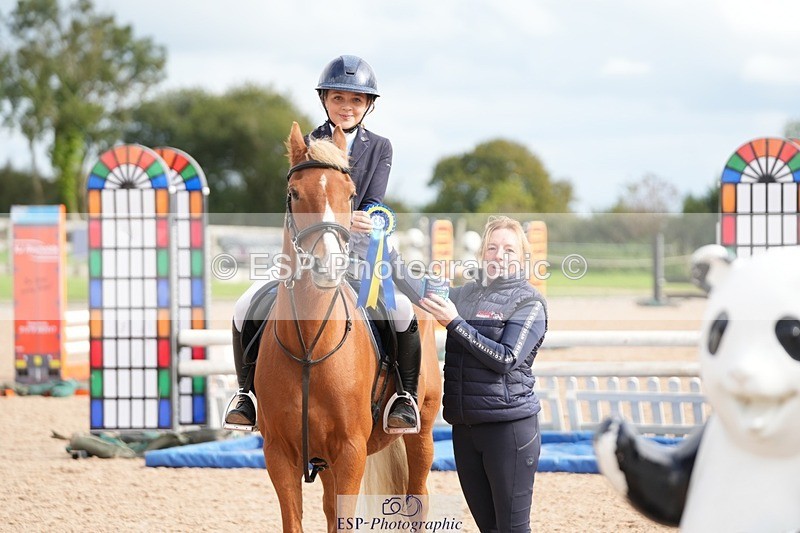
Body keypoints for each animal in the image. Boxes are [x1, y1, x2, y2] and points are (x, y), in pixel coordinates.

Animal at [254, 122, 442, 532]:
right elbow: (297, 520)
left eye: (351, 194)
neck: (310, 345)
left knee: (418, 496)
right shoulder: (279, 453)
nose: (329, 266)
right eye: (294, 193)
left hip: (421, 430)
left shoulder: (351, 451)